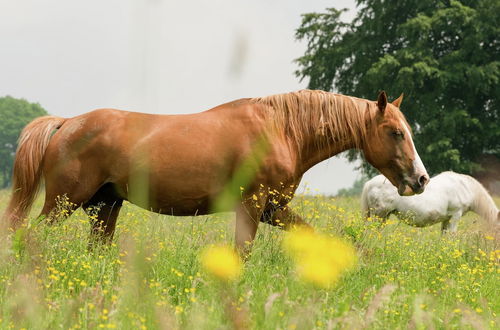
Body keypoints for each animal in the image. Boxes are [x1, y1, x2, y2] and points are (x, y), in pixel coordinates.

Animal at [1, 89, 428, 251]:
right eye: (395, 132)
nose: (421, 179)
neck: (281, 129)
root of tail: (66, 123)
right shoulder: (253, 206)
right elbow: (243, 251)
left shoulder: (274, 210)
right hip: (64, 202)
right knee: (30, 236)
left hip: (104, 207)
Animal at [362, 173, 498, 232]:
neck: (466, 187)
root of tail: (369, 183)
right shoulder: (456, 216)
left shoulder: (447, 219)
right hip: (379, 215)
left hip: (384, 216)